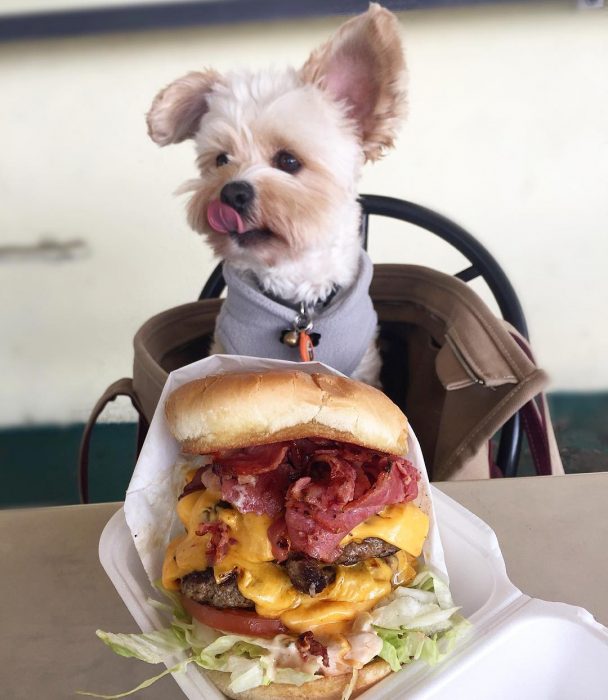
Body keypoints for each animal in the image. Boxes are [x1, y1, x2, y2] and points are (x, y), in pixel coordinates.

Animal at [145, 2, 406, 386]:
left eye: (289, 160)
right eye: (221, 160)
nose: (231, 193)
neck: (297, 301)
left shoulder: (364, 369)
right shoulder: (225, 351)